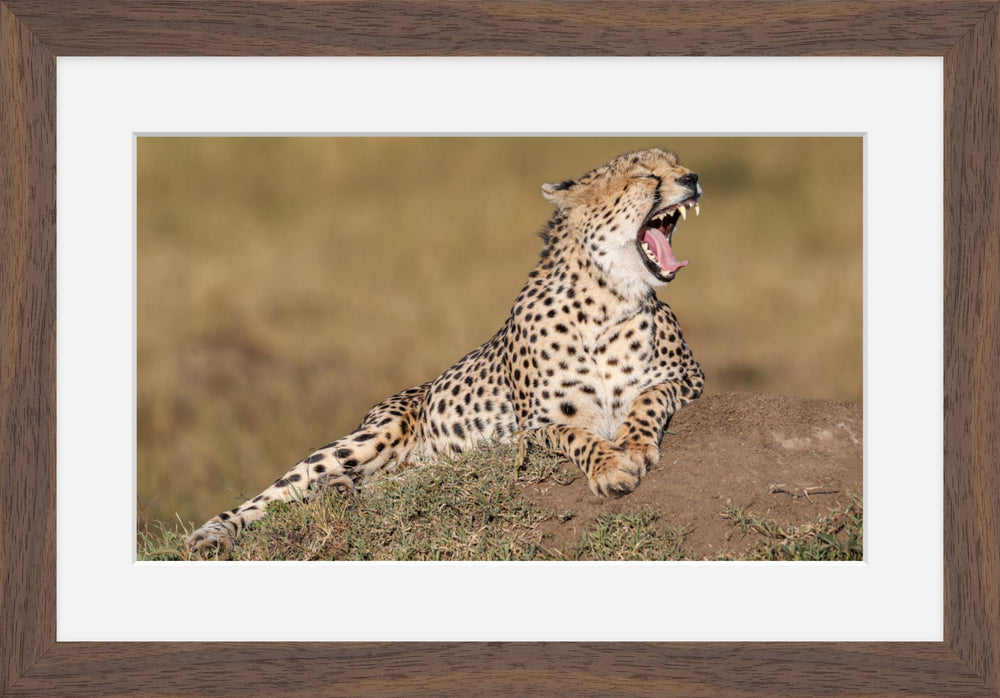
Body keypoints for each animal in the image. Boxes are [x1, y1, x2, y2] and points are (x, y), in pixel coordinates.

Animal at [187, 148, 705, 555]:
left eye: (677, 163)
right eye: (644, 174)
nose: (692, 178)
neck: (607, 298)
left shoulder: (690, 379)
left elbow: (647, 397)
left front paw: (634, 444)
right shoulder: (531, 427)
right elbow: (575, 434)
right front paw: (611, 467)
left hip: (420, 467)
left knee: (379, 485)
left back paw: (340, 490)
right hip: (371, 435)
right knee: (275, 492)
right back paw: (213, 534)